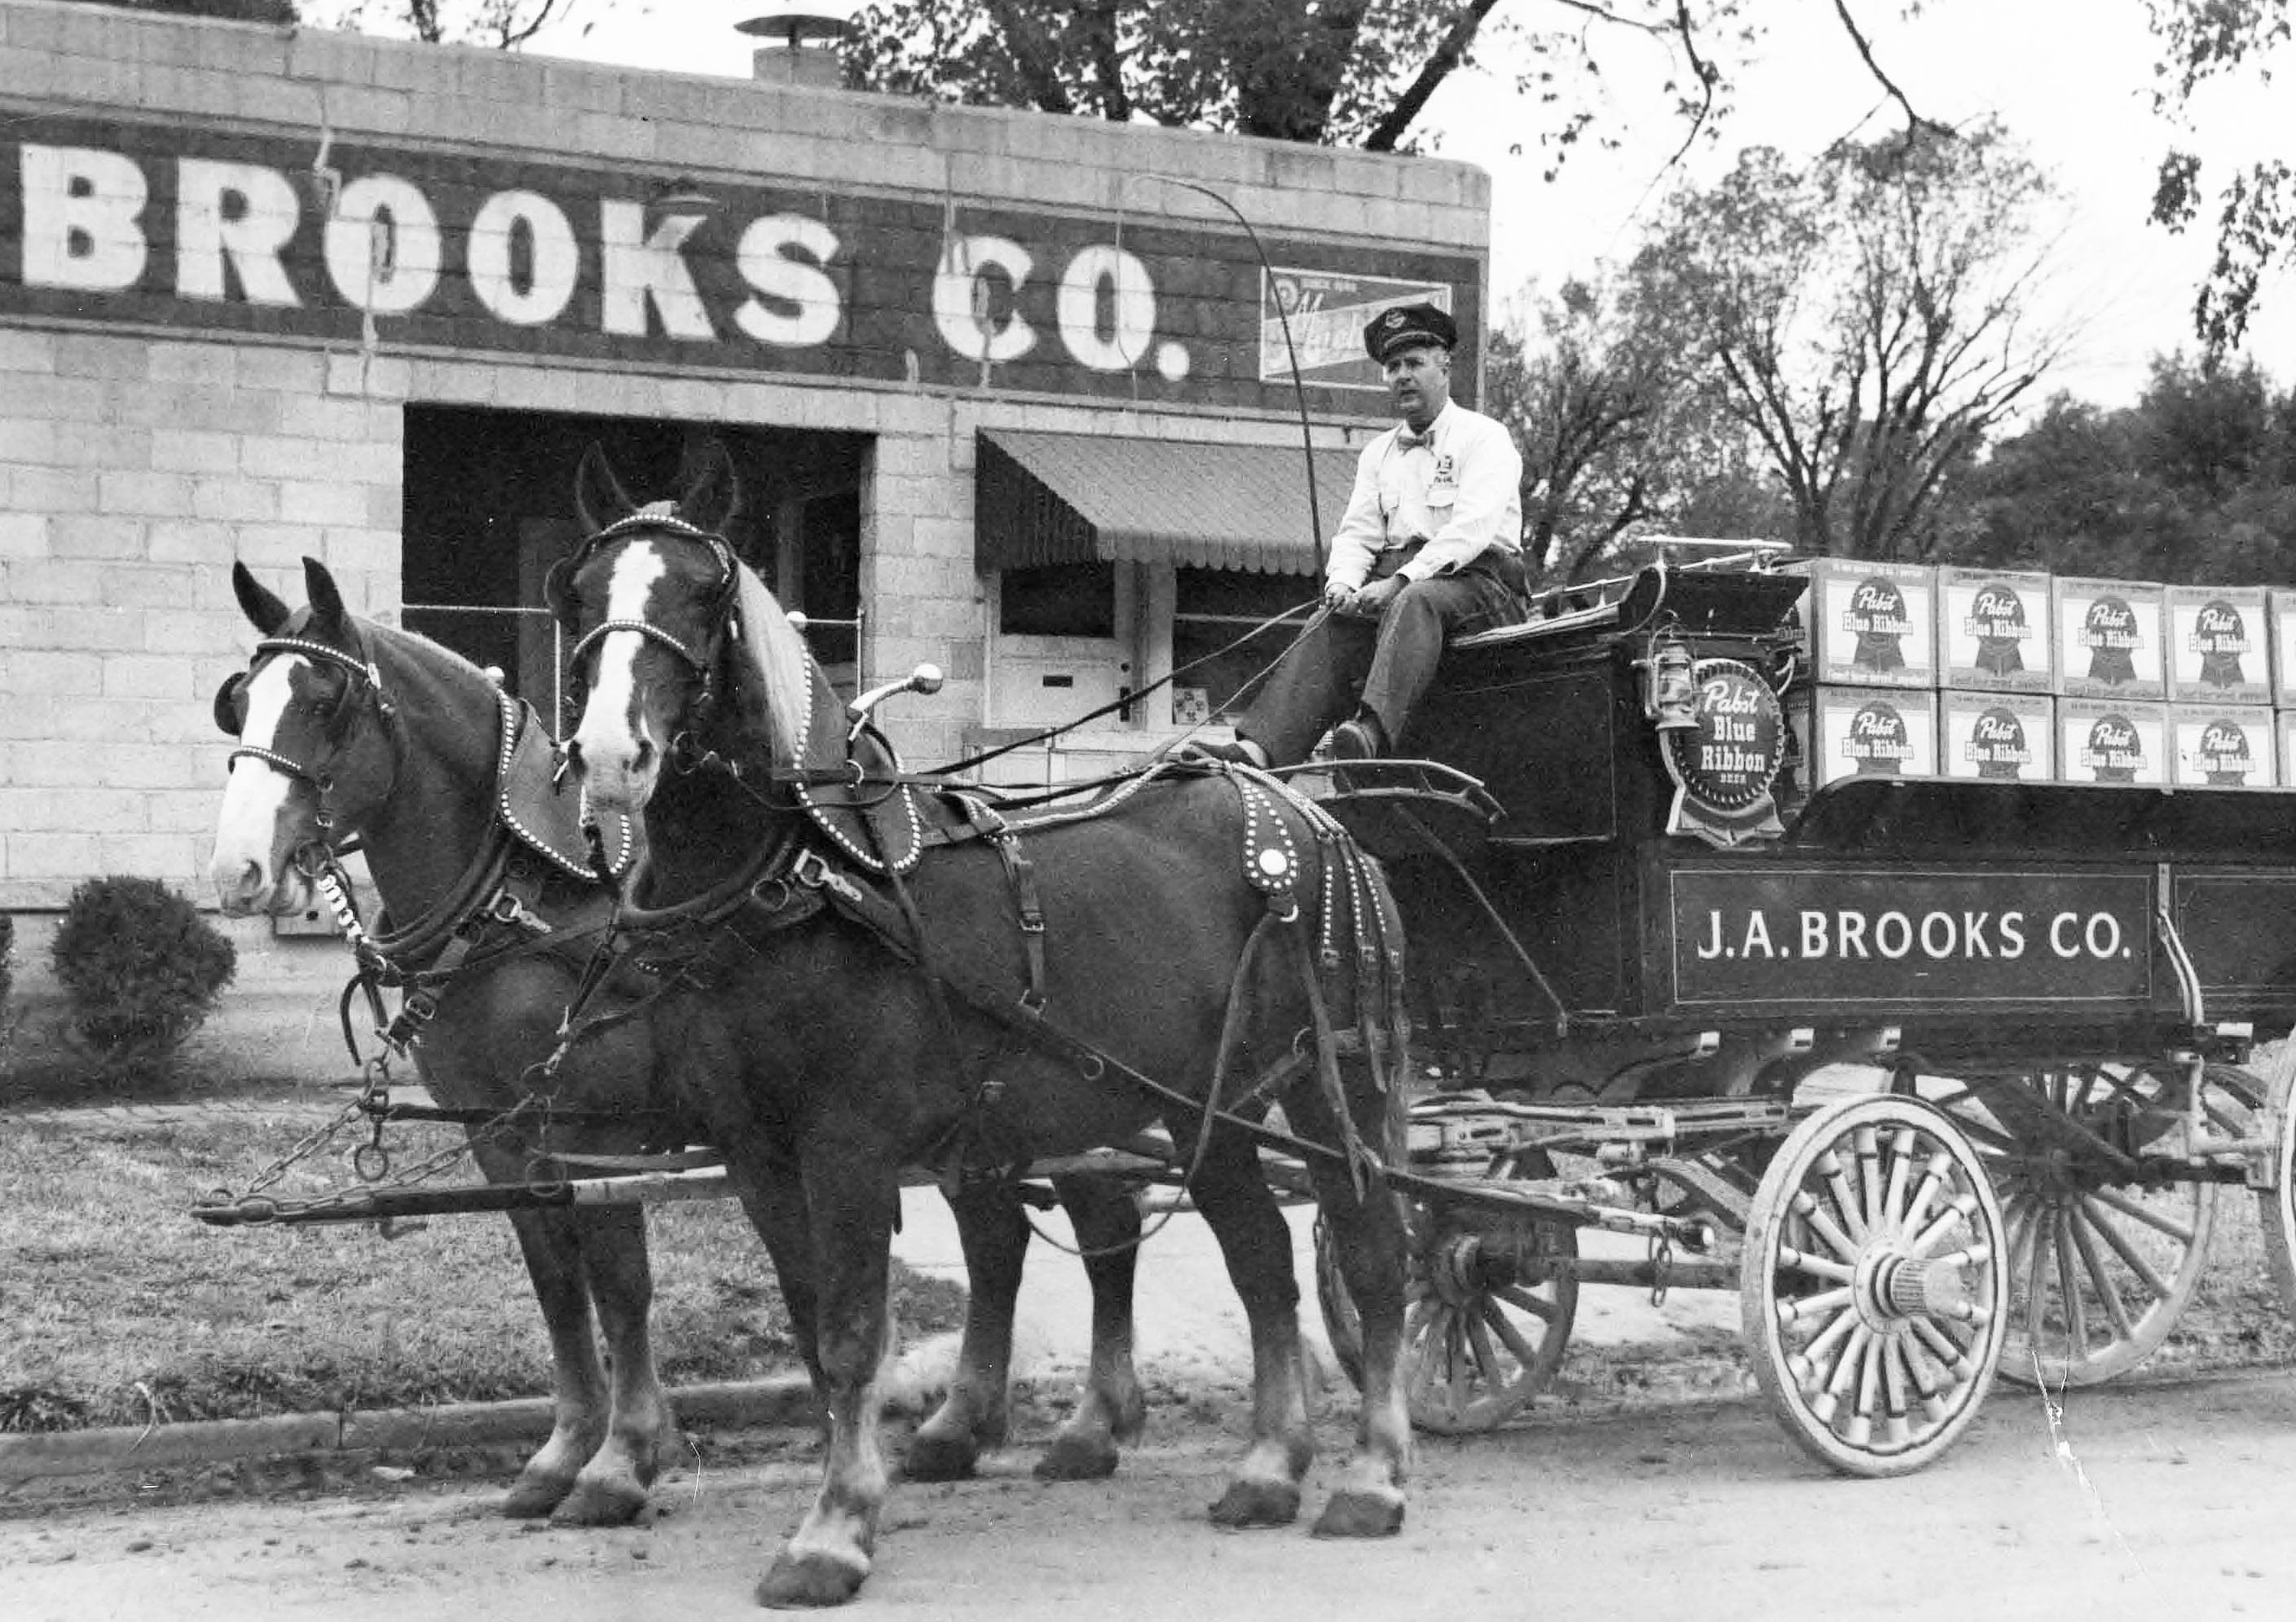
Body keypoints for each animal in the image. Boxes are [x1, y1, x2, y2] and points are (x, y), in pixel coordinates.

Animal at [207, 553, 679, 1516]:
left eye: (327, 703)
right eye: (238, 702)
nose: (238, 871)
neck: (524, 898)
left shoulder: (600, 1132)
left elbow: (621, 1284)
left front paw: (620, 1463)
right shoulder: (497, 1129)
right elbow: (556, 1282)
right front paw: (563, 1452)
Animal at [555, 445, 1414, 1608]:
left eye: (704, 593)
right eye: (579, 594)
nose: (612, 753)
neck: (799, 880)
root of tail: (1310, 811)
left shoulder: (849, 1145)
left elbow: (854, 1333)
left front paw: (834, 1531)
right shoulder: (757, 1154)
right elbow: (815, 1331)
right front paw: (848, 1500)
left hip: (1334, 1083)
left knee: (1372, 1254)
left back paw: (1373, 1474)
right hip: (1218, 1104)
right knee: (1263, 1260)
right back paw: (1271, 1466)